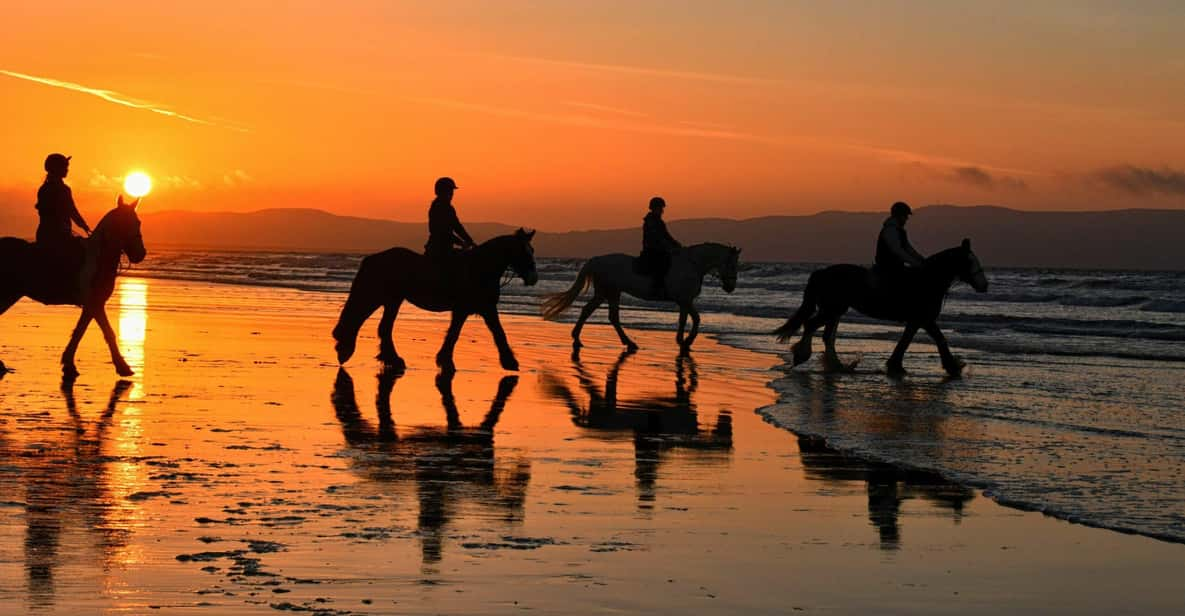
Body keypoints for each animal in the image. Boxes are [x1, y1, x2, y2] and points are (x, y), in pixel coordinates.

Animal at [331, 229, 540, 374]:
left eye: (532, 250)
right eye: (523, 252)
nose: (533, 278)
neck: (480, 267)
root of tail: (374, 258)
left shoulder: (484, 308)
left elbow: (497, 333)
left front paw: (509, 362)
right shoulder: (467, 309)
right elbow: (458, 334)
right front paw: (446, 362)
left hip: (392, 299)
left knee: (381, 327)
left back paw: (388, 358)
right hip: (382, 296)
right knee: (362, 318)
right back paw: (347, 350)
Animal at [540, 242, 739, 353]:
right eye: (732, 264)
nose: (730, 287)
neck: (692, 264)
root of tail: (596, 260)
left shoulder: (684, 301)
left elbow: (684, 320)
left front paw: (682, 341)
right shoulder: (685, 299)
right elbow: (696, 319)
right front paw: (687, 341)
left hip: (609, 293)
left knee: (599, 313)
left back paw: (582, 339)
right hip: (608, 292)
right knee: (603, 314)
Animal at [772, 239, 985, 374]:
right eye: (969, 261)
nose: (984, 285)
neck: (926, 281)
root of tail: (822, 272)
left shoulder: (916, 320)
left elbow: (905, 341)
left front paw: (895, 366)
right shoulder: (924, 319)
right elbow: (939, 339)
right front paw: (953, 367)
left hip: (835, 310)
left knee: (825, 335)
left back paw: (837, 365)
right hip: (832, 309)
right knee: (811, 326)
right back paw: (803, 356)